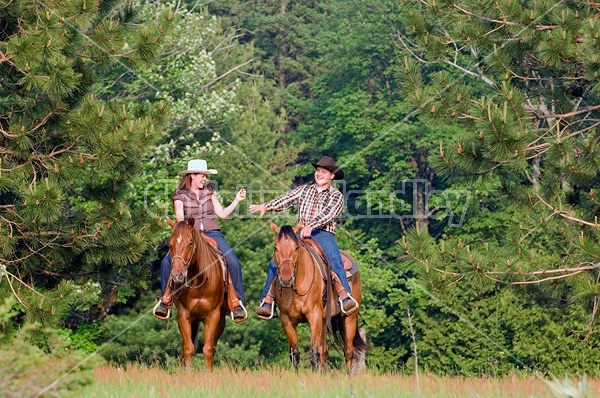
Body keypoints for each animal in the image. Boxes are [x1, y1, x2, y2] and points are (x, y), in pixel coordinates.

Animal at [166, 218, 227, 370]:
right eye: (170, 244)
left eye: (190, 243)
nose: (177, 275)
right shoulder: (183, 315)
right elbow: (188, 348)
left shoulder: (213, 315)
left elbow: (208, 349)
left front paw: (208, 372)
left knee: (213, 346)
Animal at [270, 222, 368, 372]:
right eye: (276, 248)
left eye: (296, 248)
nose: (286, 278)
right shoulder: (286, 319)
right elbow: (295, 354)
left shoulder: (314, 316)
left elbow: (314, 352)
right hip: (324, 320)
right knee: (325, 351)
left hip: (349, 317)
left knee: (348, 351)